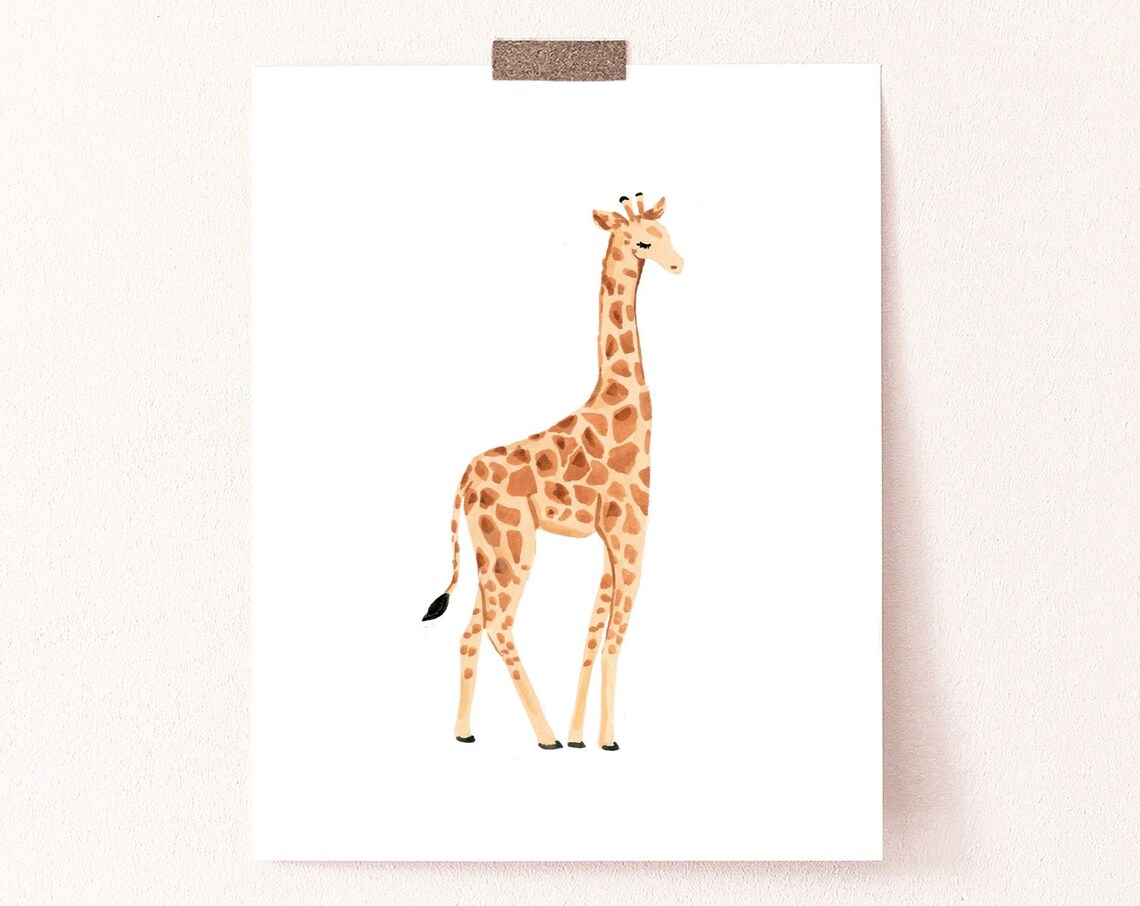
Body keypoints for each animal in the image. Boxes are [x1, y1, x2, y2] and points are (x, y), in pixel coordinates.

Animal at [421, 192, 683, 750]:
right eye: (642, 241)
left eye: (667, 232)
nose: (678, 264)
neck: (620, 408)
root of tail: (463, 481)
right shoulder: (631, 529)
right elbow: (615, 635)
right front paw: (604, 739)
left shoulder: (610, 537)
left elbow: (591, 632)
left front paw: (583, 734)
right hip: (514, 547)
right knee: (498, 626)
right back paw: (543, 737)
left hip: (490, 551)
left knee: (471, 629)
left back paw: (465, 732)